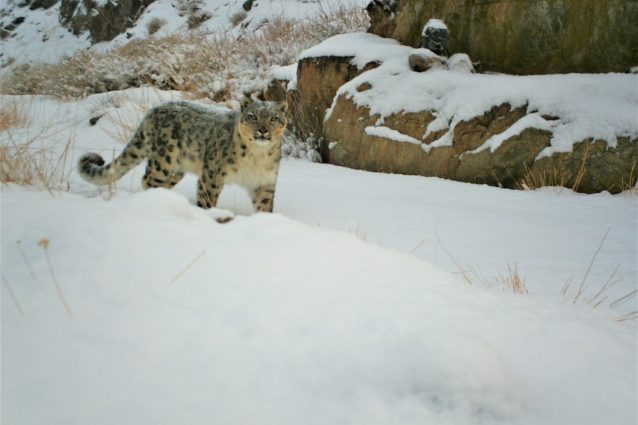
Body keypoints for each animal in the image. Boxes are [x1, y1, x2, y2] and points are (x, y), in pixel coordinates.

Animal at [79, 99, 288, 212]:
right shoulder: (212, 175)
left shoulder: (265, 181)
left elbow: (264, 206)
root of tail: (153, 111)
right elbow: (207, 200)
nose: (263, 130)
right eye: (253, 116)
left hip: (177, 169)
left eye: (274, 118)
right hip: (163, 160)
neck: (256, 157)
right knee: (148, 179)